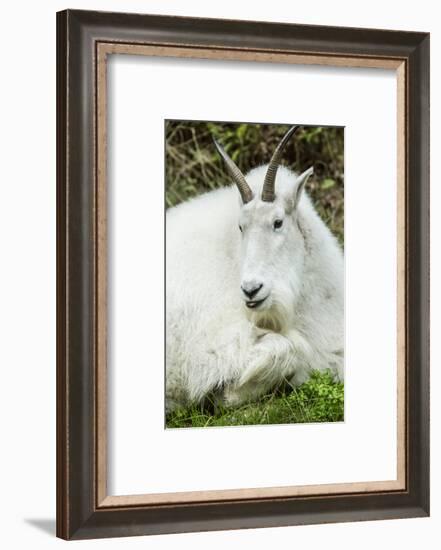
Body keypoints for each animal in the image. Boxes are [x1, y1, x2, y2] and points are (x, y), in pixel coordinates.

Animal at [166, 126, 344, 414]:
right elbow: (291, 350)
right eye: (241, 227)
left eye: (278, 222)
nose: (251, 290)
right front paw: (224, 394)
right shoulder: (208, 352)